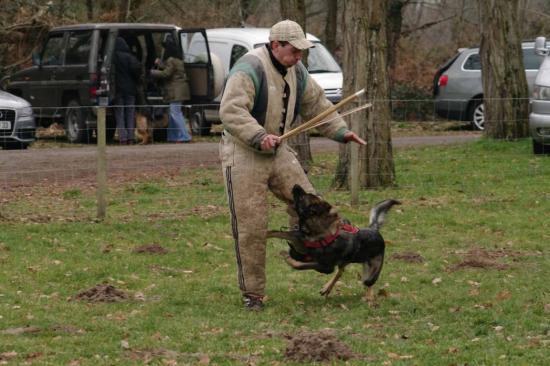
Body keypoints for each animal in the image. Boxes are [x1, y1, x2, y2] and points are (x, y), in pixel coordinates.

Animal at [268, 184, 402, 302]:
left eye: (303, 197)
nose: (296, 185)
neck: (321, 234)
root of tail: (374, 230)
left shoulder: (326, 267)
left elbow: (299, 265)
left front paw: (287, 258)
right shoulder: (298, 237)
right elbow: (276, 232)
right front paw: (266, 233)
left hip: (371, 272)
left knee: (367, 283)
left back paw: (369, 297)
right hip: (347, 262)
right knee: (341, 272)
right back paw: (327, 288)